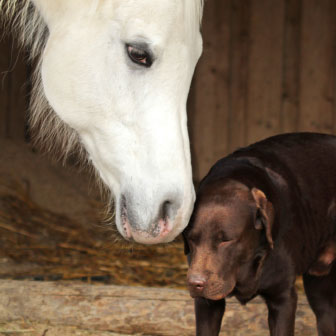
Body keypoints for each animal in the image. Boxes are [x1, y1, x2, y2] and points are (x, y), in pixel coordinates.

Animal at [184, 133, 336, 336]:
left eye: (226, 240)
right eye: (190, 239)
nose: (195, 283)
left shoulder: (283, 298)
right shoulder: (207, 304)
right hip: (319, 288)